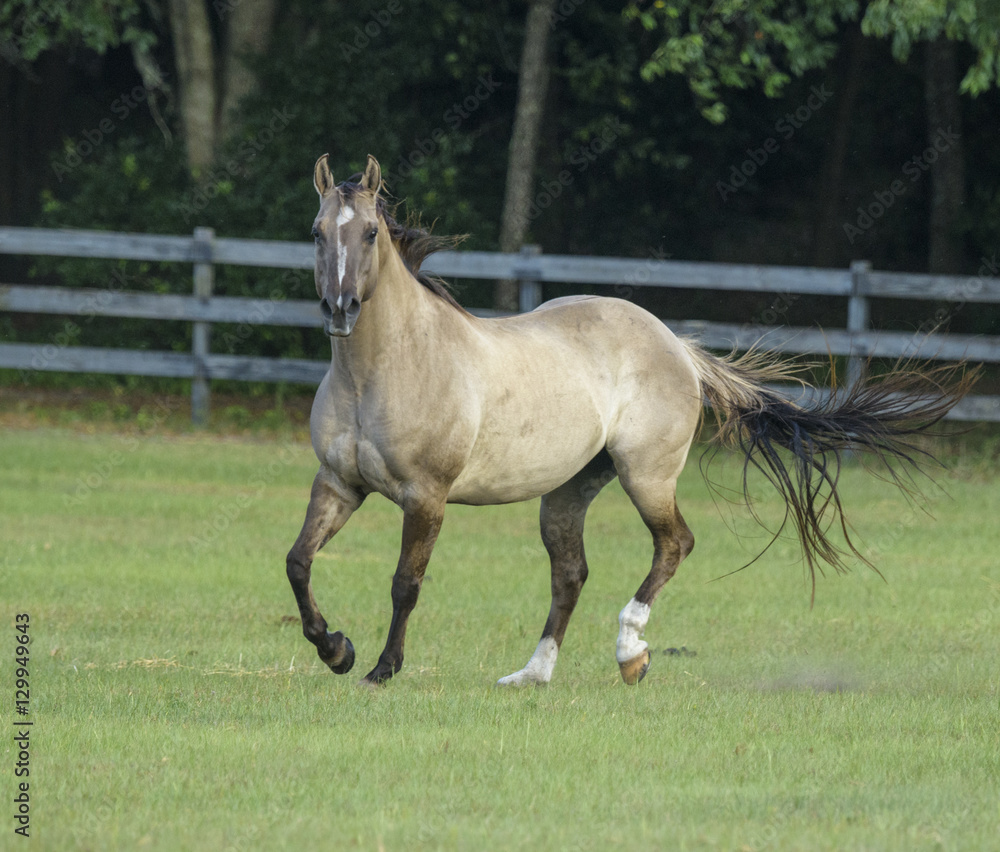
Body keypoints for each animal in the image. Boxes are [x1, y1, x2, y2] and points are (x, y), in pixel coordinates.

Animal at [285, 153, 974, 687]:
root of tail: (677, 345)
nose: (340, 309)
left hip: (647, 476)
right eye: (316, 232)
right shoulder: (339, 485)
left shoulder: (426, 497)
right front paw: (336, 650)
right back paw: (532, 674)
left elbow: (406, 582)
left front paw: (380, 668)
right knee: (570, 575)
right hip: (569, 490)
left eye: (370, 233)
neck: (382, 370)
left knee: (674, 545)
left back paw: (631, 653)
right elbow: (298, 562)